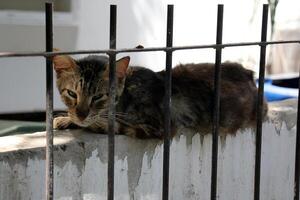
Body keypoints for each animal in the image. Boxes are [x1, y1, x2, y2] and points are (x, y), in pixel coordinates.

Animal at [52, 54, 268, 139]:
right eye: (72, 93)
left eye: (97, 97)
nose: (81, 114)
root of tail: (249, 74)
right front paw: (66, 118)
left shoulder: (159, 126)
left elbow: (115, 124)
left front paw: (94, 122)